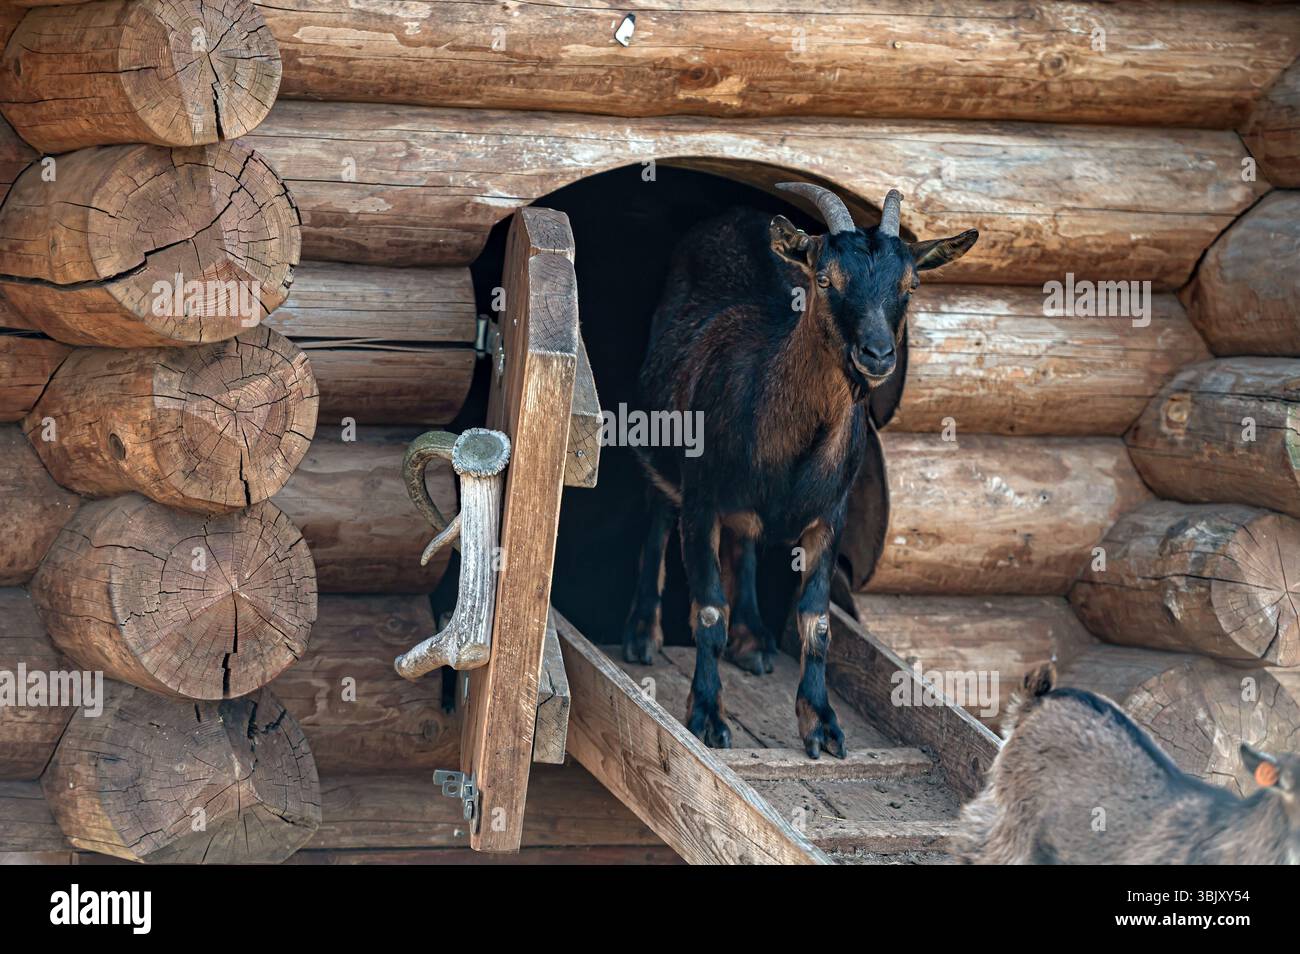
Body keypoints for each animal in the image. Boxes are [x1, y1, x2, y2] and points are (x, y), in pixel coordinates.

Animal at [623, 183, 977, 757]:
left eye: (911, 283)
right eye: (826, 278)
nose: (877, 354)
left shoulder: (829, 517)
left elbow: (818, 622)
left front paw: (822, 725)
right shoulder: (702, 503)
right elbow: (708, 610)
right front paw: (707, 716)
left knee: (744, 542)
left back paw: (753, 641)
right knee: (657, 514)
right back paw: (640, 635)